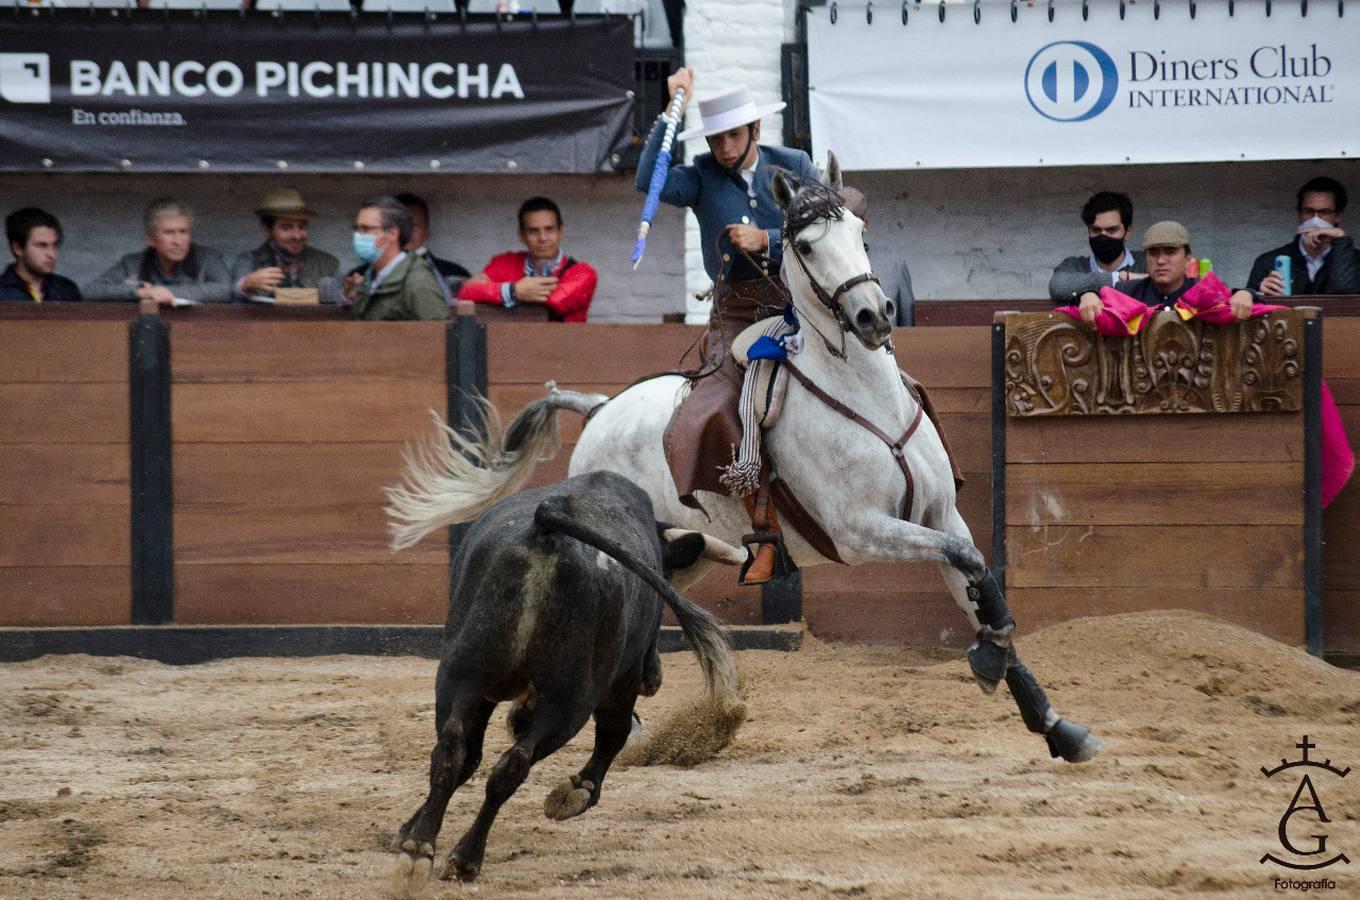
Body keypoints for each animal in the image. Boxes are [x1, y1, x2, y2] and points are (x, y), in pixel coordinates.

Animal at [388, 158, 1098, 766]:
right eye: (804, 245)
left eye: (861, 233)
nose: (872, 315)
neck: (862, 393)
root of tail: (600, 408)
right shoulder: (860, 532)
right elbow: (972, 566)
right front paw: (989, 659)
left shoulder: (941, 515)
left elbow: (976, 576)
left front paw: (1051, 721)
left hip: (689, 549)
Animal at [397, 475, 745, 886]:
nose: (654, 678)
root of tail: (545, 530)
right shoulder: (620, 684)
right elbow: (614, 735)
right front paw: (577, 791)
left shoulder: (480, 694)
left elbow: (468, 757)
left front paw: (407, 830)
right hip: (571, 701)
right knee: (519, 762)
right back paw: (465, 857)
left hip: (461, 674)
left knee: (451, 752)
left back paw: (418, 849)